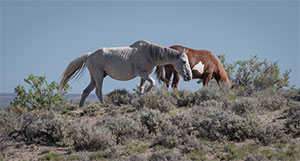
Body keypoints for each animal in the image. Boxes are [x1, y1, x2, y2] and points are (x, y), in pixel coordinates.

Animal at [58, 40, 192, 107]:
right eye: (184, 61)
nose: (189, 77)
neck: (150, 53)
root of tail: (90, 55)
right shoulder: (141, 73)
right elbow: (153, 83)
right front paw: (145, 94)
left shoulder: (144, 76)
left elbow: (142, 87)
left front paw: (140, 98)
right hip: (99, 77)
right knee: (98, 91)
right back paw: (104, 105)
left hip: (95, 78)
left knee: (86, 91)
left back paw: (81, 107)